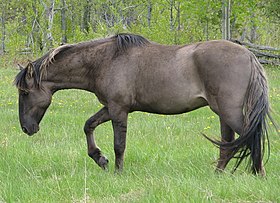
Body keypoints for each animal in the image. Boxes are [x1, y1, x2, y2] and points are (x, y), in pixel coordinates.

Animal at [14, 33, 274, 174]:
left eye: (25, 92)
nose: (26, 128)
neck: (106, 60)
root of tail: (249, 55)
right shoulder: (110, 107)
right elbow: (89, 125)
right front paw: (100, 158)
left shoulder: (119, 109)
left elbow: (119, 144)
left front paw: (117, 172)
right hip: (223, 114)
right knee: (228, 144)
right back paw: (218, 175)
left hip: (229, 112)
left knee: (249, 138)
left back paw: (259, 175)